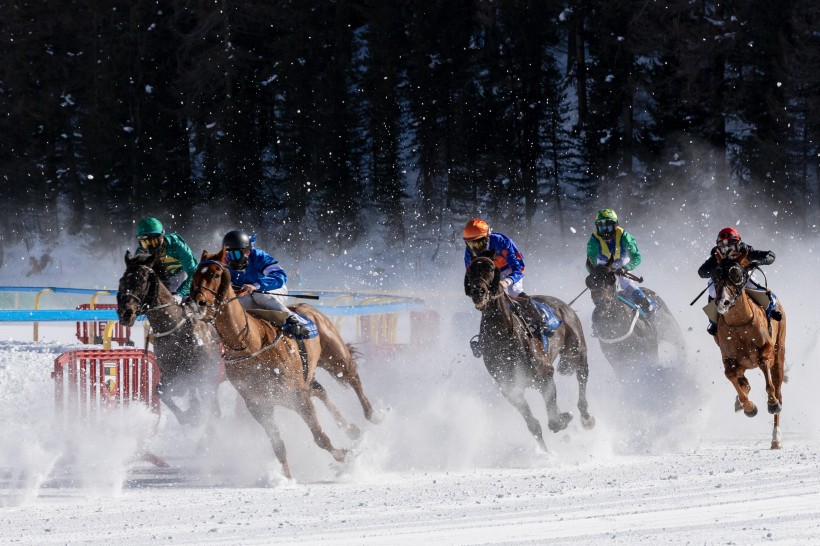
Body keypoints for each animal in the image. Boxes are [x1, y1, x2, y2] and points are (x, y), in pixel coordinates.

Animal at [116, 251, 224, 424]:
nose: (125, 313)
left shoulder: (207, 373)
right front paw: (189, 416)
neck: (174, 330)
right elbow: (161, 391)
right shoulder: (173, 372)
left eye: (142, 280)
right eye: (122, 280)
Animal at [190, 246, 378, 476]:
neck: (250, 344)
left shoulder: (297, 396)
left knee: (353, 378)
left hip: (335, 357)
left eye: (216, 274)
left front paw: (345, 456)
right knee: (321, 391)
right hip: (307, 377)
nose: (196, 303)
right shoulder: (258, 405)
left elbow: (320, 437)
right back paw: (351, 429)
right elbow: (278, 446)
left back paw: (373, 415)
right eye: (195, 275)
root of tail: (307, 307)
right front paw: (287, 478)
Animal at [464, 253, 592, 448]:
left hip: (577, 349)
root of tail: (564, 305)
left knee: (582, 375)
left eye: (491, 268)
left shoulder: (545, 375)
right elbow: (534, 425)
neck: (503, 339)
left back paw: (586, 417)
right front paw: (546, 452)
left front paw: (564, 418)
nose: (478, 291)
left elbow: (553, 421)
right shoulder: (511, 390)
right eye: (470, 269)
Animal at [712, 255, 788, 446]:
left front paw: (771, 403)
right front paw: (748, 406)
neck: (739, 325)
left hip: (779, 351)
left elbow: (765, 368)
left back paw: (776, 437)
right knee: (742, 378)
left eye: (736, 274)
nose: (722, 302)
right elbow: (731, 375)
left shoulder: (766, 349)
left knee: (778, 388)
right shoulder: (729, 357)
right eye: (716, 276)